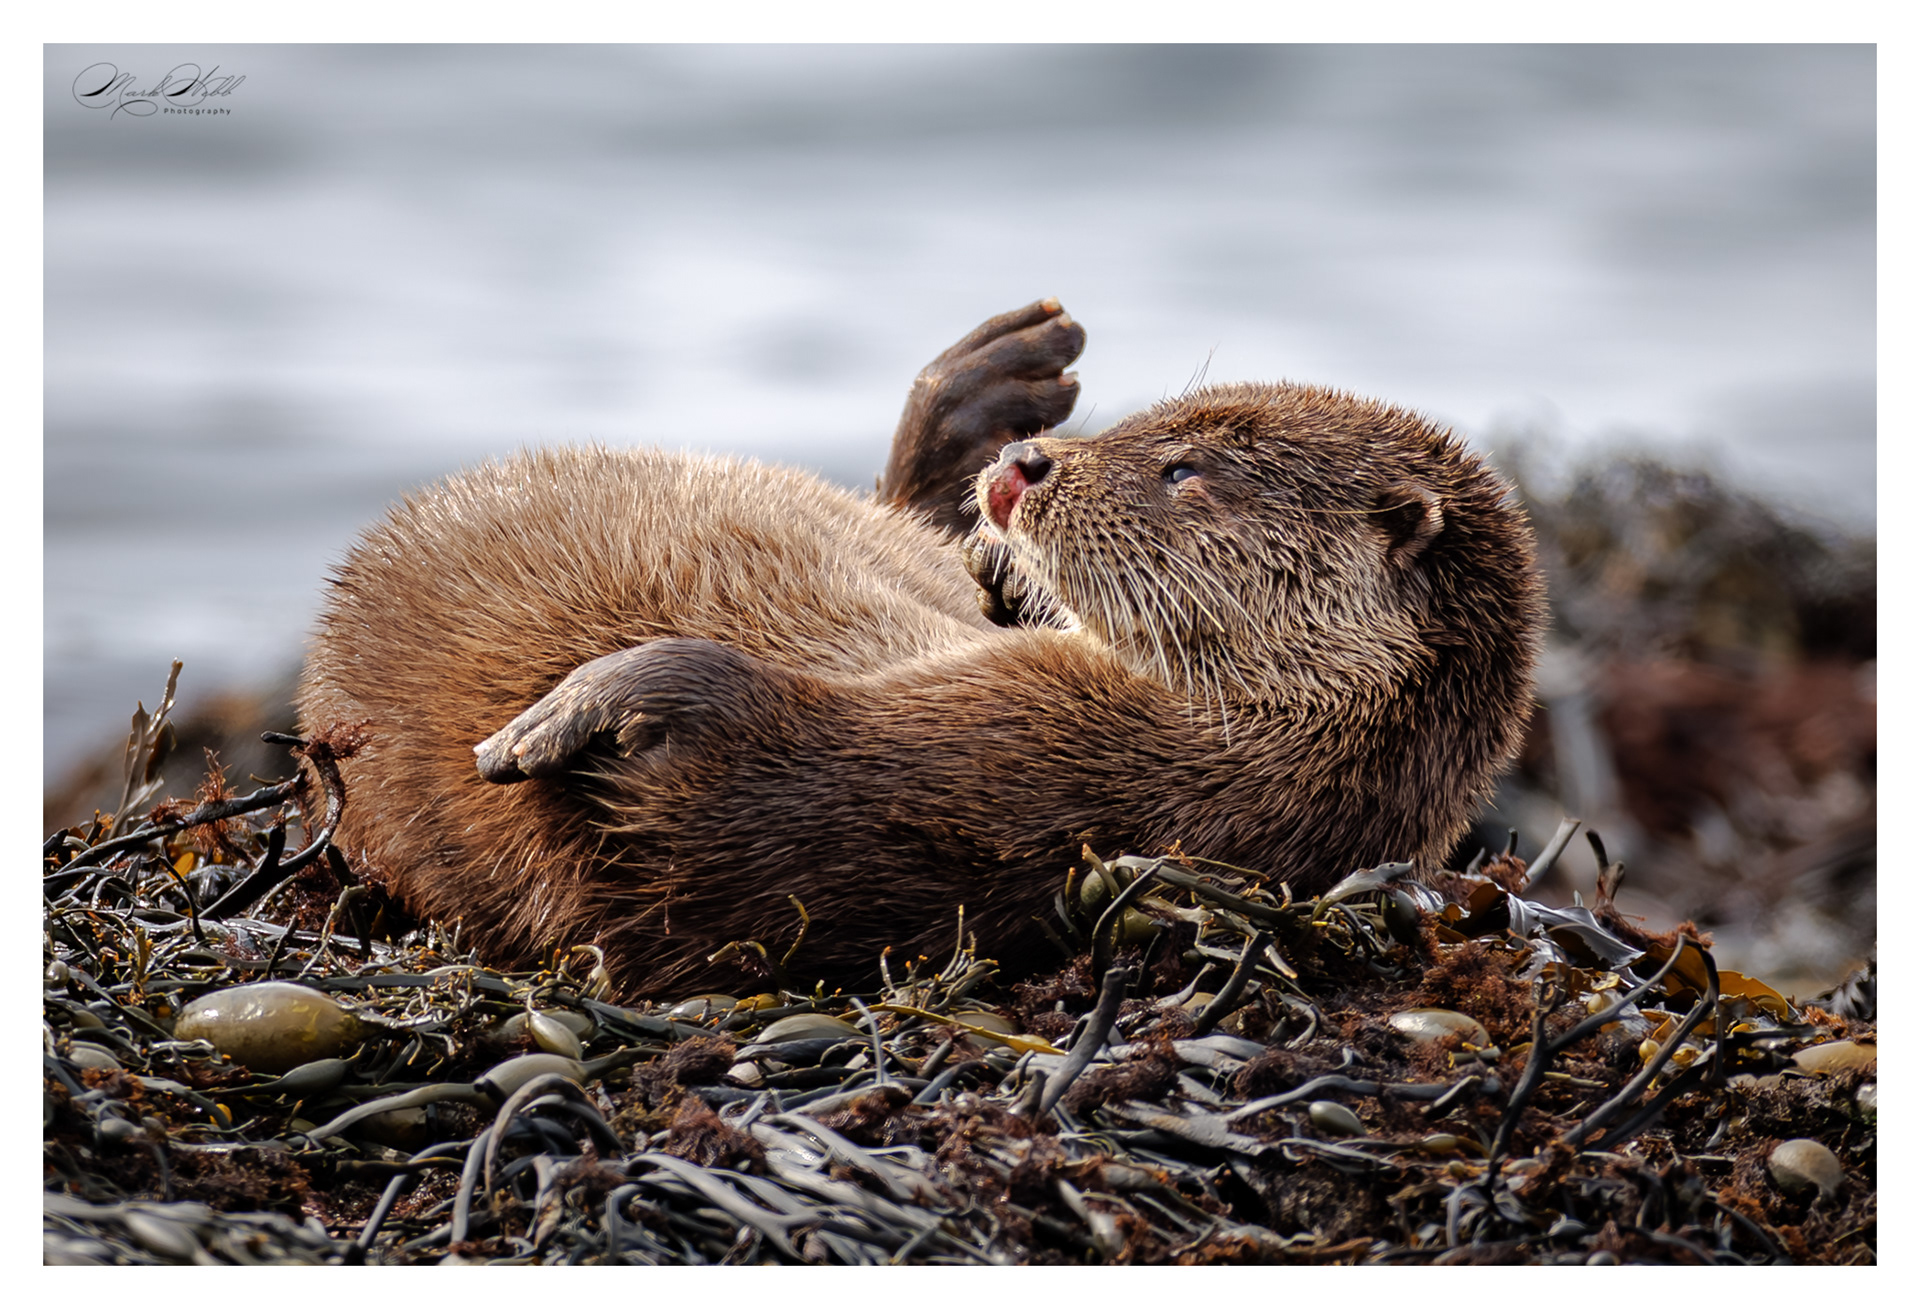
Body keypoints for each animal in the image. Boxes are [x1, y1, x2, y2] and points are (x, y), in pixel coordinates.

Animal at [298, 300, 1546, 997]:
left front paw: (585, 706)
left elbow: (752, 762)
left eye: (1185, 469)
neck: (1249, 741)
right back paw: (985, 384)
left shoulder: (1023, 767)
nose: (1032, 465)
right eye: (1151, 425)